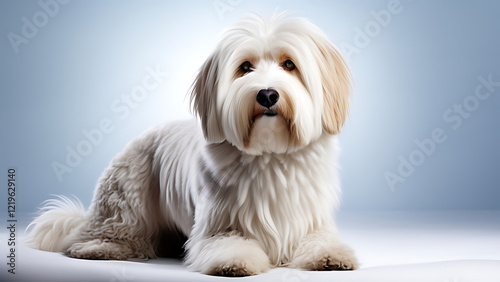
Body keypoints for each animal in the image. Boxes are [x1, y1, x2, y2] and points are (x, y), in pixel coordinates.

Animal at [27, 12, 358, 276]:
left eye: (289, 64)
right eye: (245, 67)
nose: (266, 94)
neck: (270, 153)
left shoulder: (312, 220)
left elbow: (320, 239)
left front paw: (331, 256)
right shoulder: (217, 225)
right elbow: (228, 243)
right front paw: (234, 262)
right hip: (126, 203)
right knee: (94, 235)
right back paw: (99, 248)